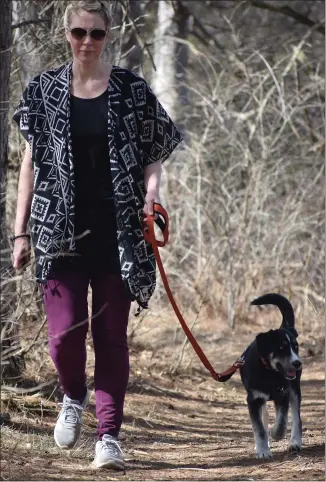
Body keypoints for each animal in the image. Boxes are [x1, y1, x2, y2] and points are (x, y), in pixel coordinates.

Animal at [238, 294, 302, 460]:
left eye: (296, 347)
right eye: (281, 348)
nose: (297, 363)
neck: (269, 373)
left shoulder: (283, 394)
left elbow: (282, 421)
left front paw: (275, 433)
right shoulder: (254, 400)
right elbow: (259, 428)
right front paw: (263, 451)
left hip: (295, 390)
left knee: (297, 418)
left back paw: (295, 442)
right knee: (265, 417)